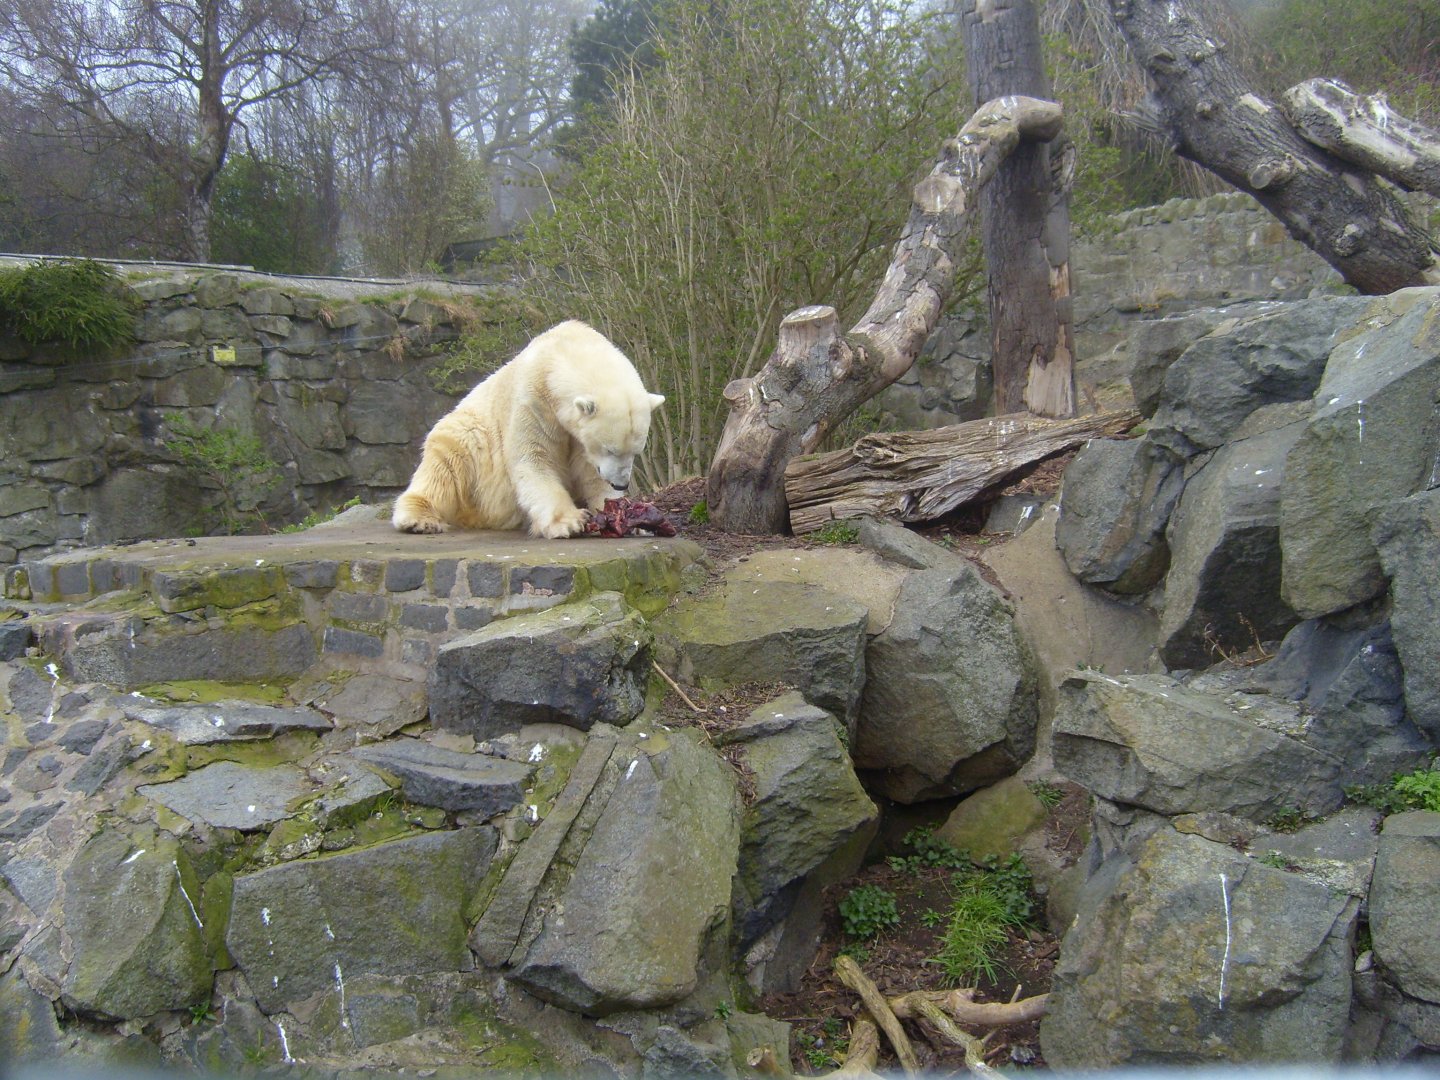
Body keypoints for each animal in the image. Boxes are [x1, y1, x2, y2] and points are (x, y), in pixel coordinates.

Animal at [392, 320, 665, 539]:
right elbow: (534, 459)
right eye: (610, 449)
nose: (620, 484)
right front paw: (570, 522)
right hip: (470, 434)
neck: (562, 350)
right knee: (446, 466)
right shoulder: (534, 402)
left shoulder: (576, 435)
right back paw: (420, 520)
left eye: (635, 452)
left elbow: (590, 472)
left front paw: (628, 518)